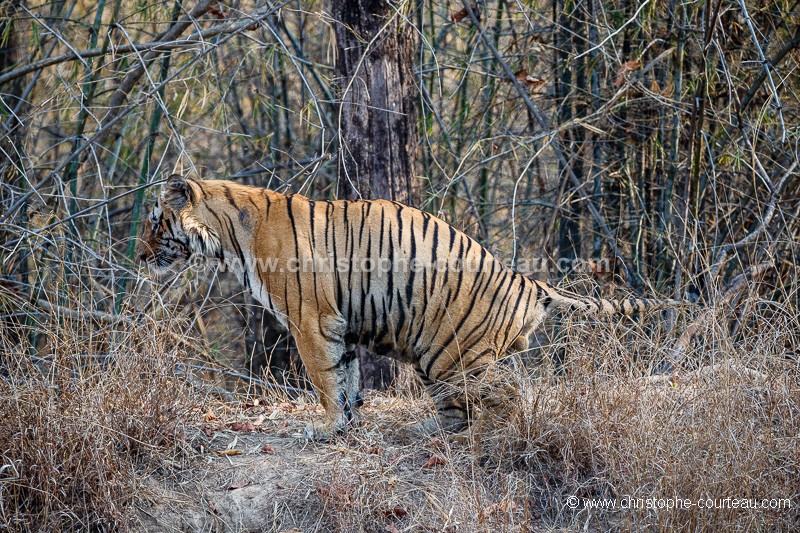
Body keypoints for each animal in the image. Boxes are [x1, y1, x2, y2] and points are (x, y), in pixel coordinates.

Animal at [138, 176, 680, 440]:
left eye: (154, 220)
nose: (140, 257)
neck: (228, 238)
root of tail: (527, 281)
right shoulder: (337, 327)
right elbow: (347, 379)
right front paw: (344, 426)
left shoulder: (310, 322)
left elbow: (325, 380)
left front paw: (324, 427)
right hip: (442, 357)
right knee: (469, 404)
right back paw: (426, 430)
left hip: (452, 355)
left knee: (506, 395)